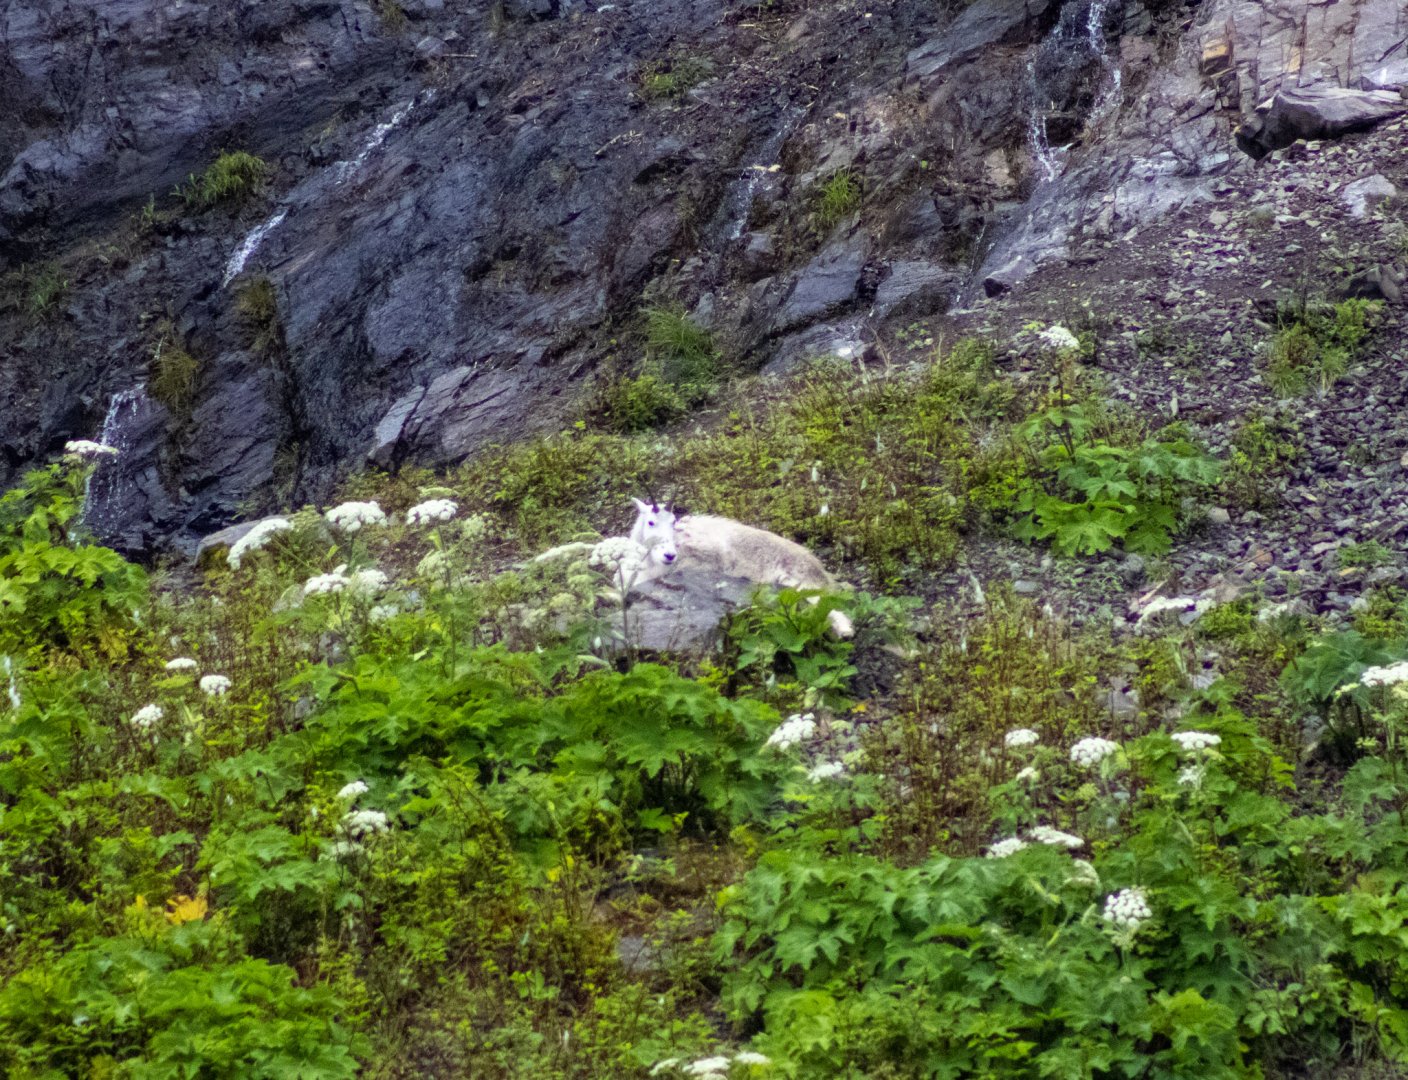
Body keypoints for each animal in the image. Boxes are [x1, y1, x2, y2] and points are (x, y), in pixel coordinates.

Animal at [629, 498, 853, 637]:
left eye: (673, 521)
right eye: (650, 522)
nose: (669, 555)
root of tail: (820, 570)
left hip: (799, 585)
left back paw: (845, 633)